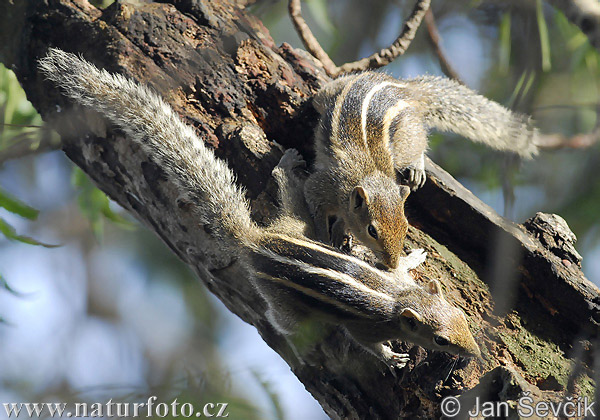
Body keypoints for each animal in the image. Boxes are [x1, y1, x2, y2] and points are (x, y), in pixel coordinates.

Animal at [308, 71, 536, 270]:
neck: (370, 174)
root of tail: (408, 89)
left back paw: (417, 168)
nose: (392, 265)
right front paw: (324, 237)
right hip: (327, 96)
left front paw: (340, 232)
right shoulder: (325, 185)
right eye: (372, 230)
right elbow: (314, 205)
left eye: (406, 226)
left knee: (419, 146)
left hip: (407, 136)